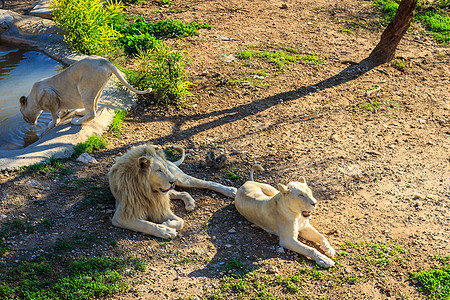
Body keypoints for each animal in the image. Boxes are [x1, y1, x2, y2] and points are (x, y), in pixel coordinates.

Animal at [107, 144, 237, 238]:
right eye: (158, 170)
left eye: (164, 168)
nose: (172, 181)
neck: (148, 192)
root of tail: (170, 162)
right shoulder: (121, 216)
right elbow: (145, 225)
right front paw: (166, 231)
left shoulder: (160, 206)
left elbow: (180, 221)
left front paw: (167, 224)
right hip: (170, 190)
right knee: (184, 192)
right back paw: (190, 203)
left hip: (182, 179)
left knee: (208, 183)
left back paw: (230, 190)